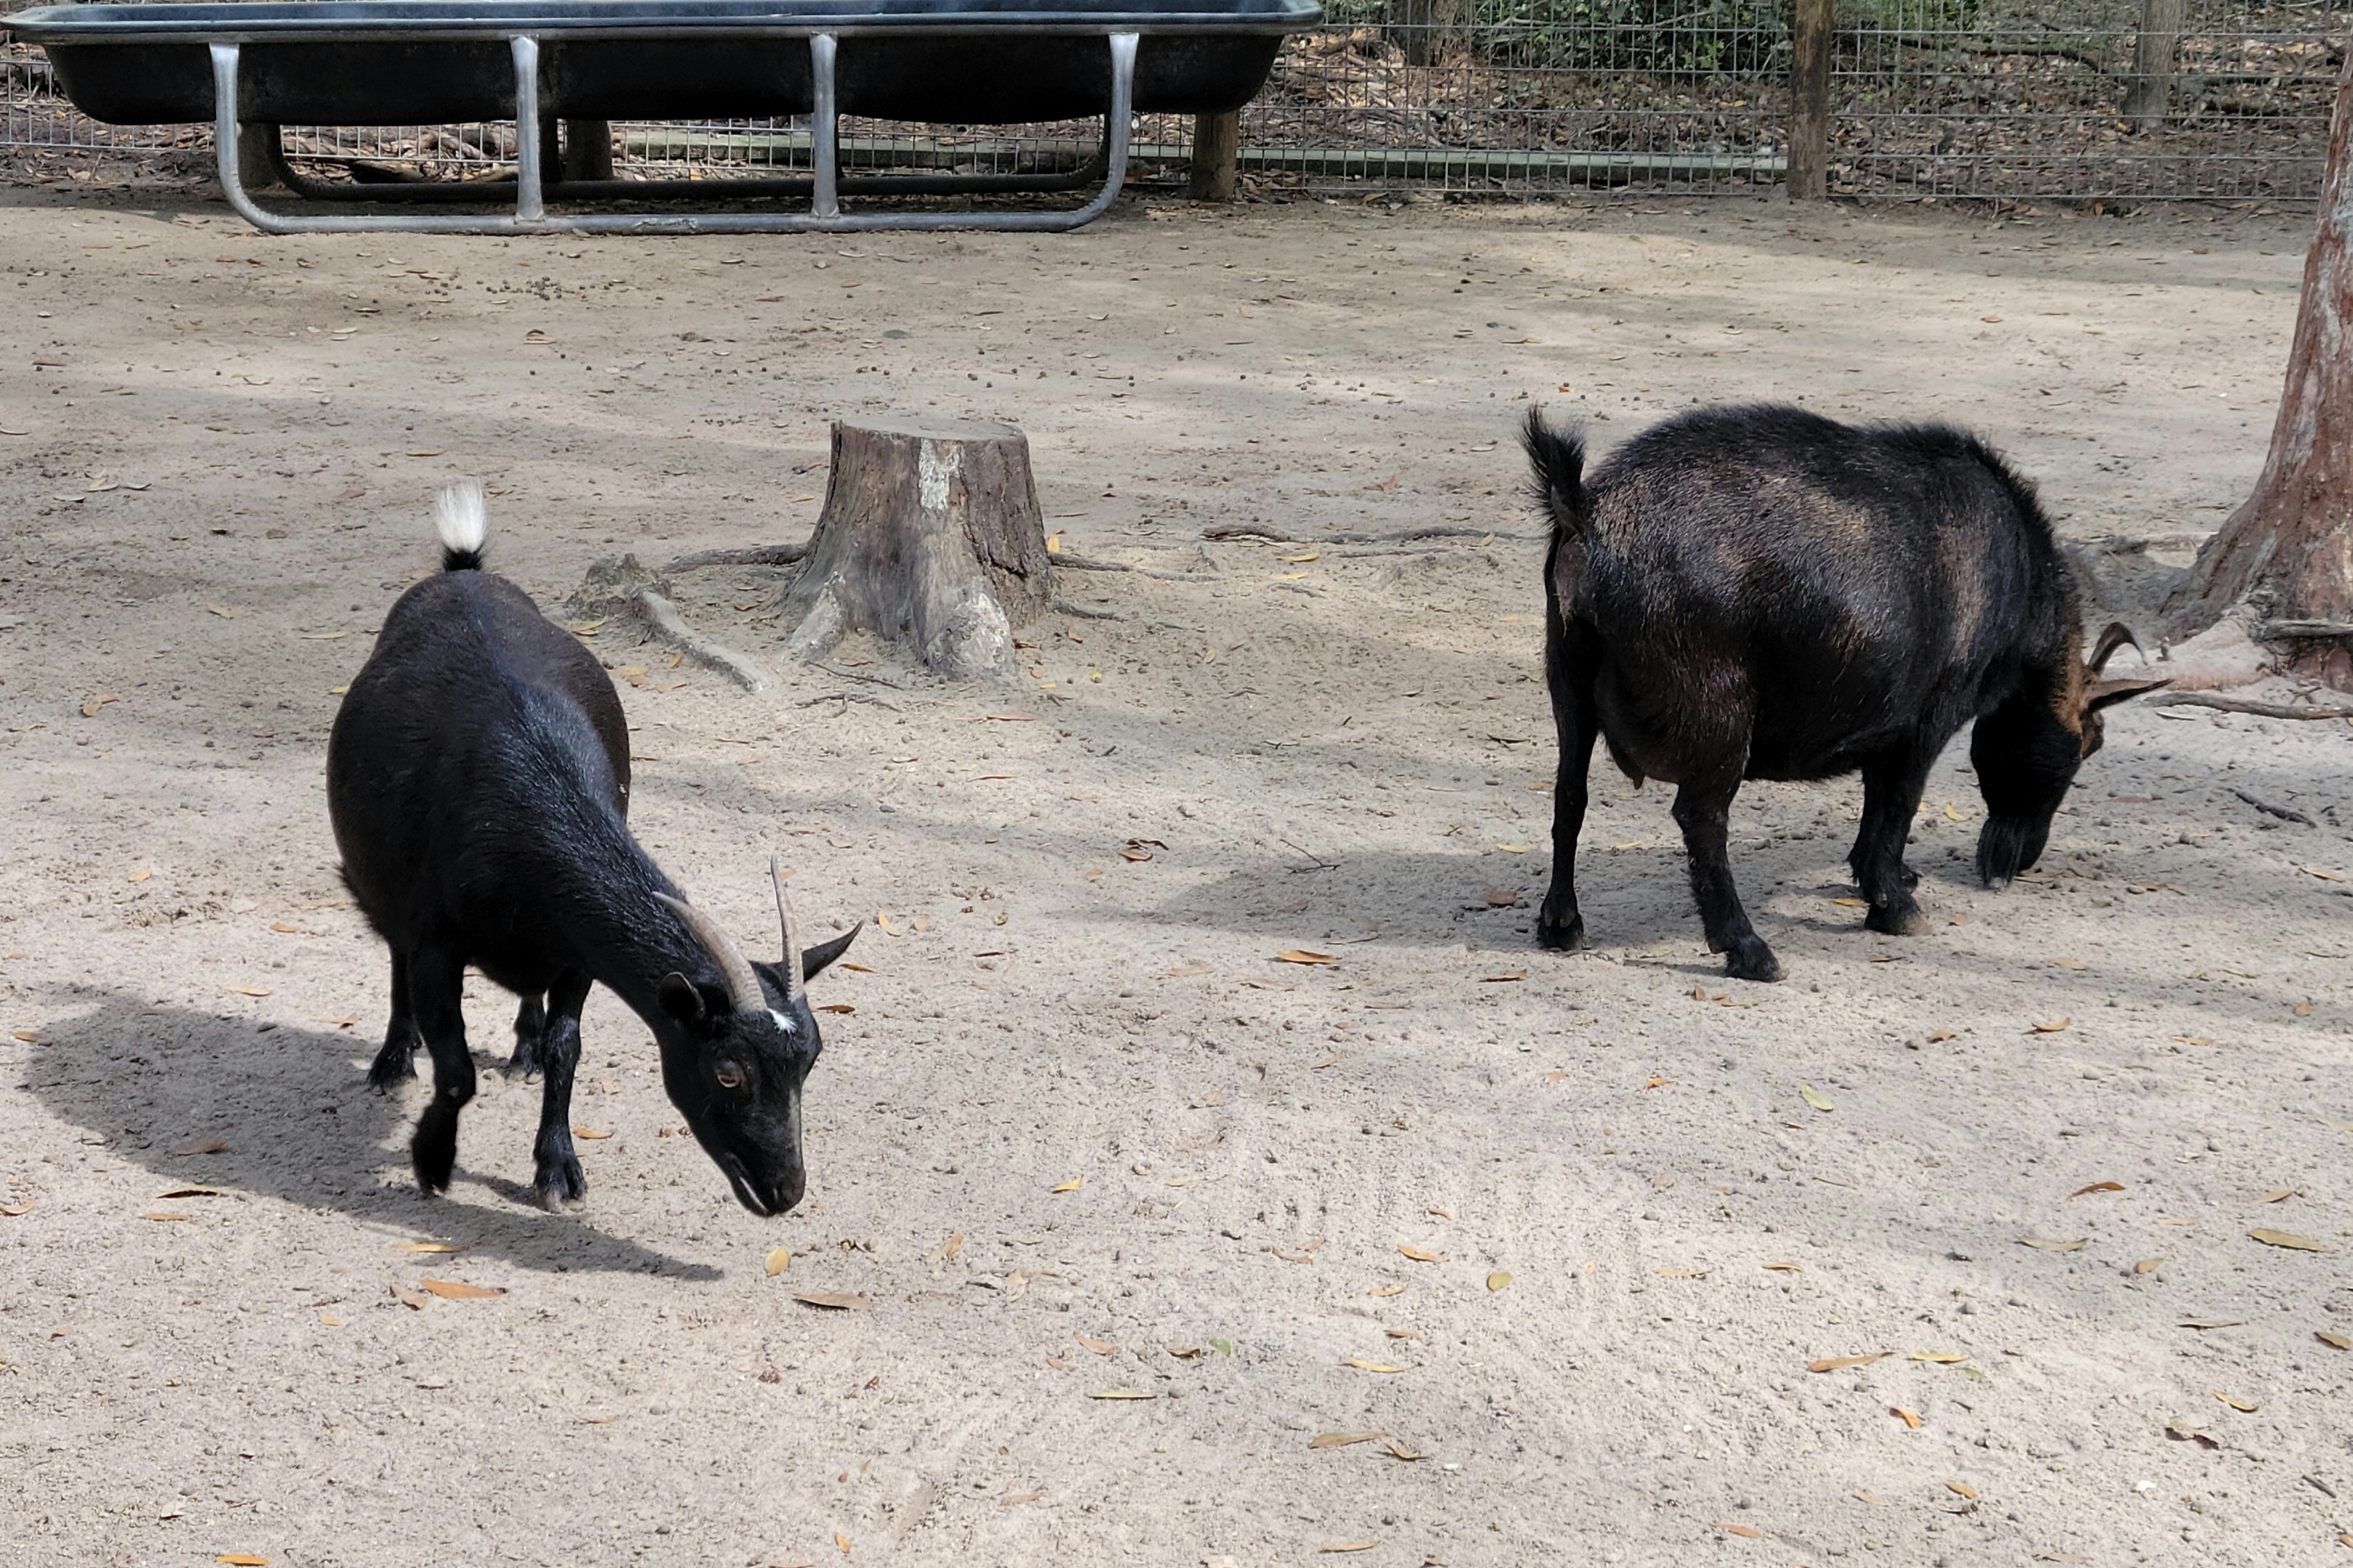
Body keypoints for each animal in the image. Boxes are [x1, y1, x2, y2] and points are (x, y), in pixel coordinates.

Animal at [326, 483, 859, 1213]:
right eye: (728, 1071)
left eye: (812, 1059)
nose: (785, 1191)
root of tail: (462, 572)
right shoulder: (438, 944)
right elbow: (456, 1067)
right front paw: (432, 1160)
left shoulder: (575, 951)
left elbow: (566, 1048)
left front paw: (557, 1168)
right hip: (382, 884)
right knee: (392, 952)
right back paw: (392, 1061)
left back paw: (519, 1046)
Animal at [1522, 404, 2166, 982]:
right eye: (2085, 746)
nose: (2022, 861)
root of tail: (1587, 516)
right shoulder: (1930, 712)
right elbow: (1899, 803)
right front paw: (1895, 907)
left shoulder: (1886, 720)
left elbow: (1875, 801)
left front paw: (1881, 881)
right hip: (1716, 707)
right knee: (1700, 817)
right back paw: (1748, 949)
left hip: (1567, 683)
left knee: (1569, 795)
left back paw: (1561, 926)